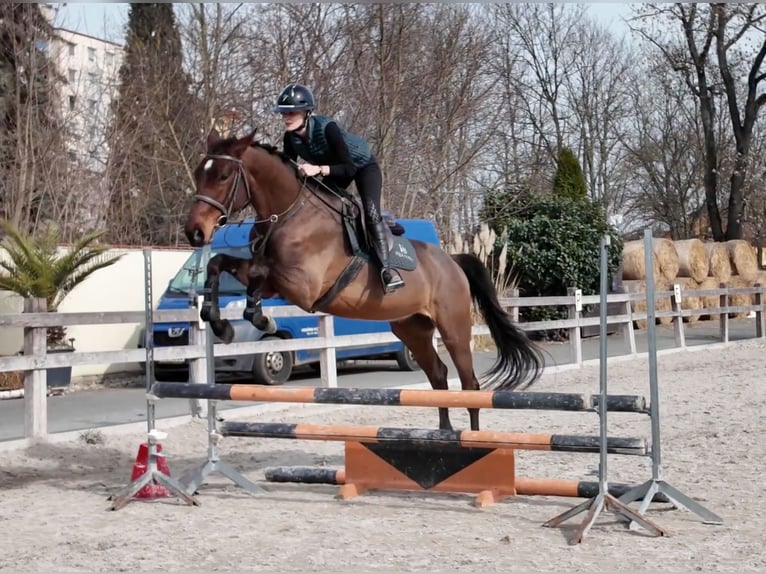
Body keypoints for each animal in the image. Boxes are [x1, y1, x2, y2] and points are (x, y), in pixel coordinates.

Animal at [183, 129, 544, 431]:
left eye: (223, 175)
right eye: (200, 172)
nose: (194, 232)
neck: (289, 213)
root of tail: (451, 261)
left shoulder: (302, 286)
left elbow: (258, 273)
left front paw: (258, 318)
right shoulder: (275, 277)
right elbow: (220, 263)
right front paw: (219, 321)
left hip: (454, 328)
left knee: (470, 385)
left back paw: (474, 440)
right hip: (411, 328)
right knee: (439, 376)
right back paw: (444, 435)